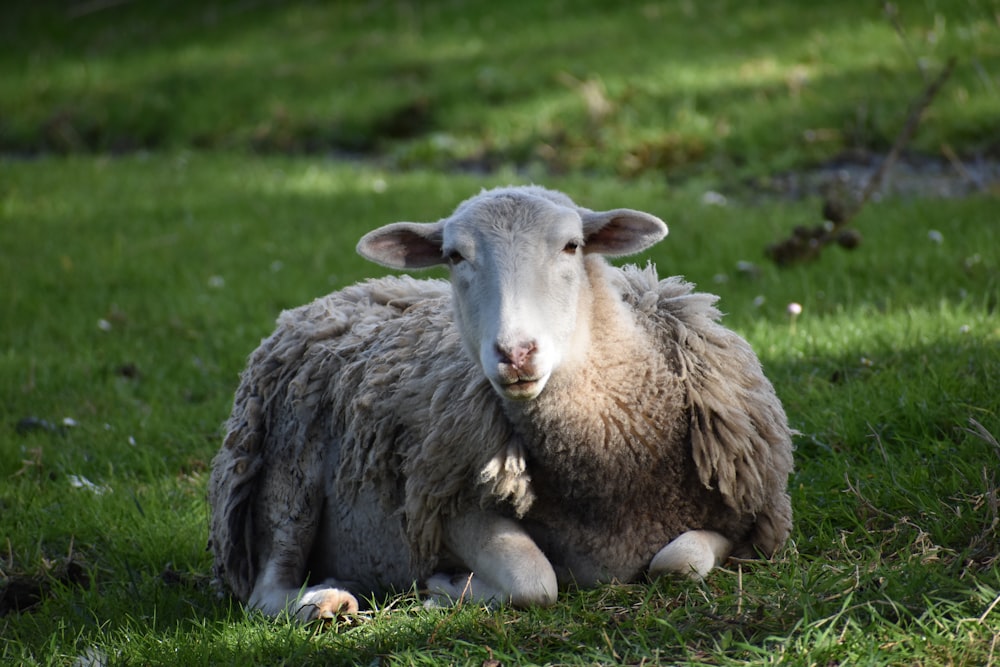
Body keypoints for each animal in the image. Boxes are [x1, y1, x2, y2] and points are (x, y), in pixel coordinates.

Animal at [207, 184, 792, 620]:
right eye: (453, 255)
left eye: (572, 246)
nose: (515, 352)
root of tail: (324, 300)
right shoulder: (447, 501)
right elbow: (535, 578)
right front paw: (446, 586)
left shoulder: (751, 516)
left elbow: (680, 562)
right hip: (286, 479)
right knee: (265, 591)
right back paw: (325, 600)